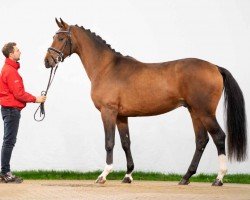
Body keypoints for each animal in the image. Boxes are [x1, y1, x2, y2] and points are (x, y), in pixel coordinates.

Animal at [44, 18, 247, 186]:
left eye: (60, 38)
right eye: (54, 37)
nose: (47, 61)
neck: (107, 67)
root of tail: (215, 67)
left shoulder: (108, 112)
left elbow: (109, 142)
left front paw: (103, 175)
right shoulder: (121, 116)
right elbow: (126, 143)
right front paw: (128, 176)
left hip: (205, 112)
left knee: (219, 137)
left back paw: (219, 178)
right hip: (194, 112)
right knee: (201, 140)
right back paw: (186, 177)